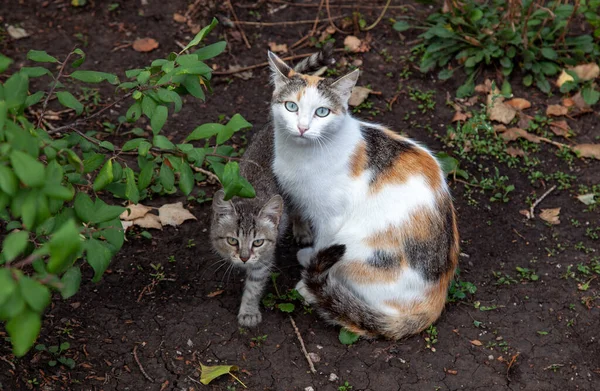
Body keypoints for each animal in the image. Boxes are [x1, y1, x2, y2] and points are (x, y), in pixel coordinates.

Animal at [210, 45, 332, 328]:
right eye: (232, 240)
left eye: (257, 243)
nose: (244, 256)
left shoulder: (263, 261)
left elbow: (255, 286)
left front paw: (248, 311)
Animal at [268, 51, 460, 340]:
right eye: (291, 107)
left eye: (322, 112)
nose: (302, 127)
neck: (300, 155)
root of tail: (436, 300)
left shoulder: (331, 218)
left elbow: (323, 243)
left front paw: (306, 279)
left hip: (357, 248)